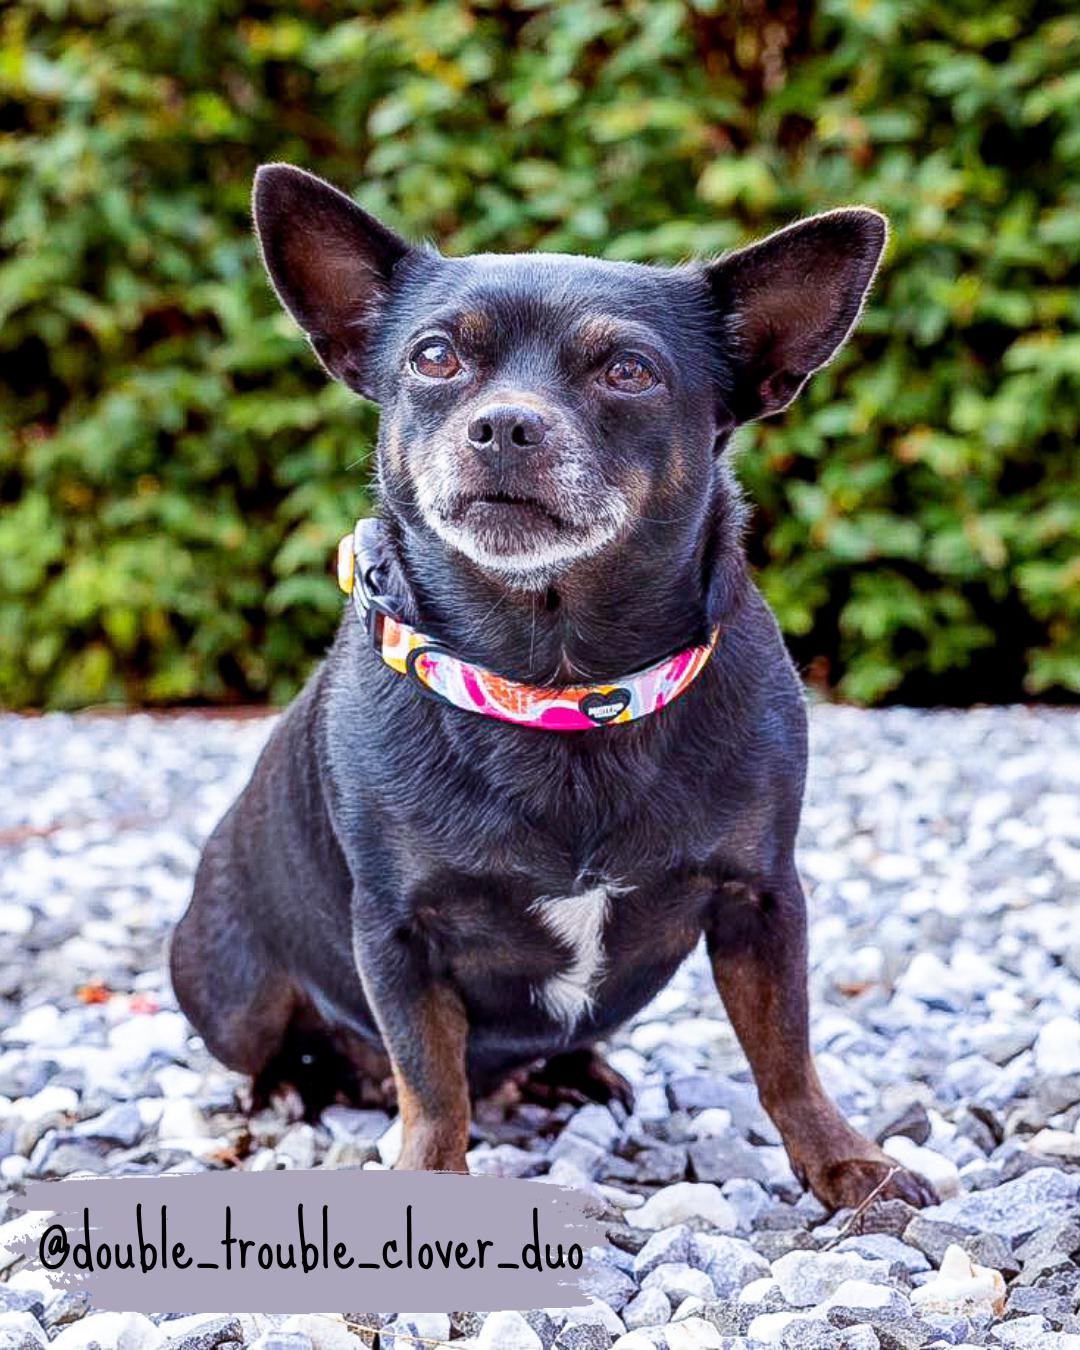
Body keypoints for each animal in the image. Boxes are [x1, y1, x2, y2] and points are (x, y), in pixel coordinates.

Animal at [170, 163, 934, 1209]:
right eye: (436, 356)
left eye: (629, 372)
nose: (504, 425)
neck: (561, 681)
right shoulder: (398, 937)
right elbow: (431, 1085)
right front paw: (430, 1181)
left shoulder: (761, 901)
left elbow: (786, 1053)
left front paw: (845, 1160)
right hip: (232, 991)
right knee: (290, 1052)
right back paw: (291, 1092)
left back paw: (577, 1074)